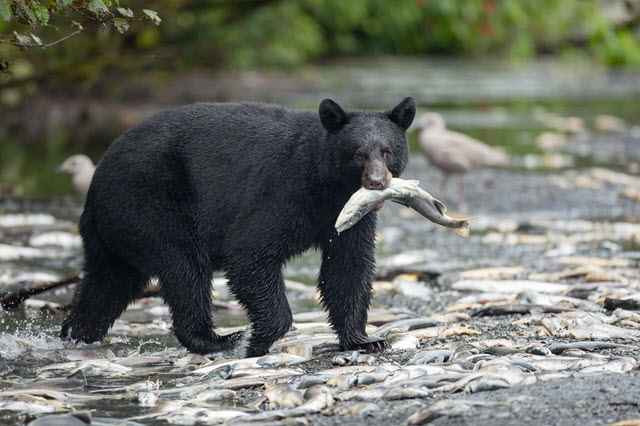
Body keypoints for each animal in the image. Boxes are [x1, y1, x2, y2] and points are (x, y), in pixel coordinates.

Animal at [62, 97, 418, 356]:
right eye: (358, 154)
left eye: (388, 152)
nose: (376, 183)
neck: (326, 185)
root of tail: (97, 179)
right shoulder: (283, 192)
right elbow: (250, 252)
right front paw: (256, 339)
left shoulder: (349, 217)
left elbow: (348, 268)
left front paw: (366, 340)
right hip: (152, 203)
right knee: (185, 270)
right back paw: (216, 339)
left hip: (114, 229)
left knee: (108, 283)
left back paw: (75, 335)